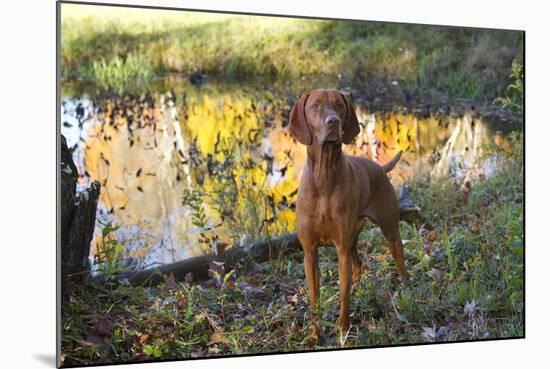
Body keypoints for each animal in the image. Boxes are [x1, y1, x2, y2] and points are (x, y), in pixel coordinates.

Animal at [288, 88, 410, 342]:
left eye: (339, 106)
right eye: (315, 106)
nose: (332, 121)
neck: (324, 176)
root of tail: (380, 168)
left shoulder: (341, 250)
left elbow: (344, 297)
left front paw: (343, 331)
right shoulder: (310, 253)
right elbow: (314, 299)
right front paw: (315, 335)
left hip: (389, 230)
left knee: (399, 259)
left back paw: (407, 287)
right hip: (354, 235)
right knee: (359, 265)